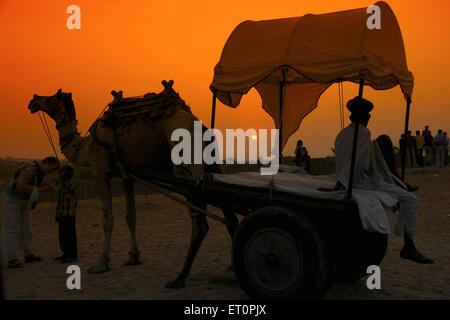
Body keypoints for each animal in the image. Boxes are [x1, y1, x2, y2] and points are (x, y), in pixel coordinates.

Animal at [27, 81, 239, 288]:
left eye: (51, 97)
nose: (33, 100)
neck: (85, 147)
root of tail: (199, 125)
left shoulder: (100, 172)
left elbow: (107, 219)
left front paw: (101, 264)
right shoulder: (127, 177)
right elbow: (131, 216)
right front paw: (133, 257)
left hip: (186, 165)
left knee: (200, 224)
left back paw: (179, 279)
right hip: (212, 163)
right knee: (229, 213)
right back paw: (233, 266)